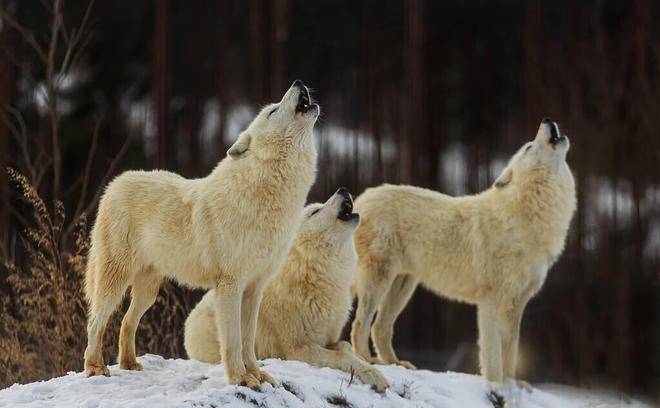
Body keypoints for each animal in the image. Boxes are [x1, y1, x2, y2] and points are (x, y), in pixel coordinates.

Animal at [84, 80, 320, 388]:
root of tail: (114, 184)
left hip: (148, 290)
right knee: (95, 321)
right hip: (115, 280)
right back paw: (95, 368)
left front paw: (256, 374)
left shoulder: (255, 288)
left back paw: (129, 364)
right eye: (272, 110)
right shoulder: (229, 286)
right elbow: (232, 341)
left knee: (126, 322)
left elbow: (248, 341)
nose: (298, 83)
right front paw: (240, 378)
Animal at [183, 190, 390, 390]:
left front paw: (366, 360)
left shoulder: (327, 338)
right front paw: (375, 375)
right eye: (315, 211)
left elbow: (345, 346)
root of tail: (188, 321)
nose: (343, 189)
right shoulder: (297, 349)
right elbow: (342, 356)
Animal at [350, 118, 576, 382]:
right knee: (360, 324)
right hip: (380, 281)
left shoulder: (517, 303)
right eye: (529, 147)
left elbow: (511, 354)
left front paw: (511, 384)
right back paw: (367, 360)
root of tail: (361, 199)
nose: (546, 120)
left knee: (380, 327)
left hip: (403, 286)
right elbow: (492, 354)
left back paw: (396, 363)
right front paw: (495, 383)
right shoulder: (490, 301)